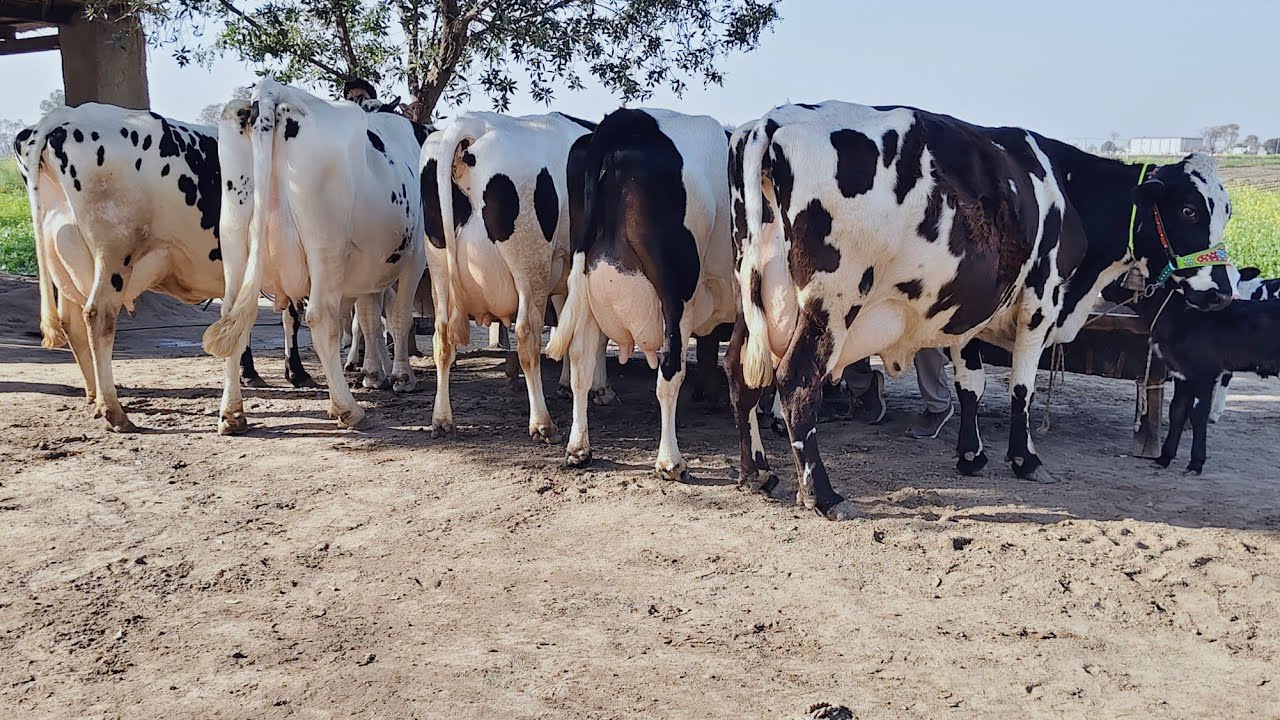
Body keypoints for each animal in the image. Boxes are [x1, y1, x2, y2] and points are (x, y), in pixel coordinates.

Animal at [13, 103, 315, 432]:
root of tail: (64, 117)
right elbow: (289, 316)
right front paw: (293, 373)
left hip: (64, 258)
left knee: (73, 324)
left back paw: (96, 400)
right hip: (114, 253)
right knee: (98, 317)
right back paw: (115, 412)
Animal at [202, 78, 427, 433]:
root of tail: (272, 90)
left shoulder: (372, 268)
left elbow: (369, 320)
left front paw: (374, 373)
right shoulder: (414, 256)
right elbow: (398, 317)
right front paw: (401, 377)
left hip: (235, 239)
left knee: (233, 314)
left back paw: (232, 414)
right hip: (325, 245)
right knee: (321, 318)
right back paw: (348, 409)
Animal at [546, 108, 737, 479]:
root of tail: (631, 121)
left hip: (587, 284)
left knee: (580, 362)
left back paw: (578, 449)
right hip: (677, 292)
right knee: (670, 368)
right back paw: (670, 461)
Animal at [729, 101, 1235, 519]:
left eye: (1227, 211)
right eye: (1189, 210)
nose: (1223, 291)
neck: (1066, 186)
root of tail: (772, 121)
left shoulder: (968, 309)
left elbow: (971, 384)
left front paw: (971, 455)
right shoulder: (1040, 299)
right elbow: (1021, 387)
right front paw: (1025, 459)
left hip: (751, 297)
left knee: (740, 373)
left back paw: (758, 473)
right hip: (830, 305)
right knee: (797, 381)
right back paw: (823, 495)